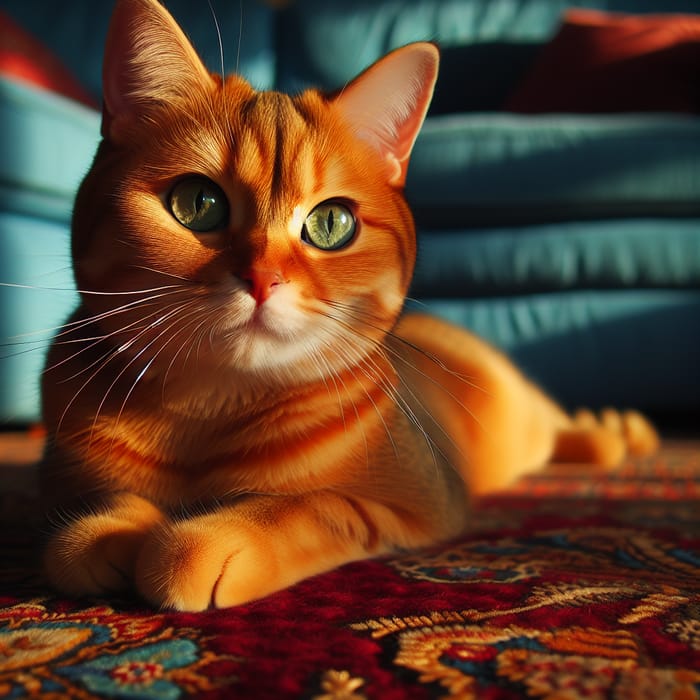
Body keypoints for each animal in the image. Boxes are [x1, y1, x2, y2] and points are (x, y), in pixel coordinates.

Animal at [39, 0, 660, 608]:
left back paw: (607, 437)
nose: (262, 279)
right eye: (197, 203)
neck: (208, 411)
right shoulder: (60, 474)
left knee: (556, 424)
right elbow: (81, 522)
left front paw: (204, 543)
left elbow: (310, 507)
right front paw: (110, 528)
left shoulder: (419, 502)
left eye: (331, 223)